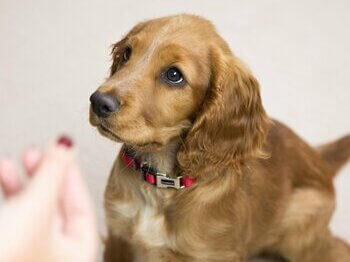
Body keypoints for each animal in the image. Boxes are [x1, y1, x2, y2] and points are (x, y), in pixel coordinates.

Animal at [89, 14, 350, 262]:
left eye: (173, 75)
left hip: (300, 236)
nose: (98, 102)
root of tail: (317, 158)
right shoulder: (118, 238)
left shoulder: (215, 253)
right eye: (127, 54)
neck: (162, 183)